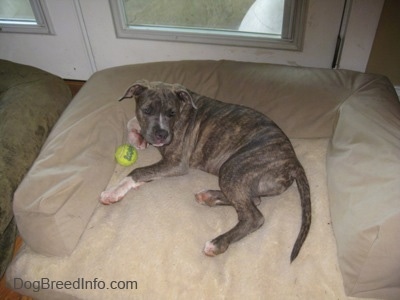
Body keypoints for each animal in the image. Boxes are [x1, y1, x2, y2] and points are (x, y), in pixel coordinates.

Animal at [98, 79, 310, 262]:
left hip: (233, 168)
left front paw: (113, 192)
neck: (183, 108)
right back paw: (209, 197)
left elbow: (138, 171)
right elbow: (132, 121)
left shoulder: (175, 163)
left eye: (172, 113)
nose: (162, 134)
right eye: (147, 110)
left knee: (253, 216)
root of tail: (293, 161)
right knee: (254, 200)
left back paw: (217, 243)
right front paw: (138, 139)